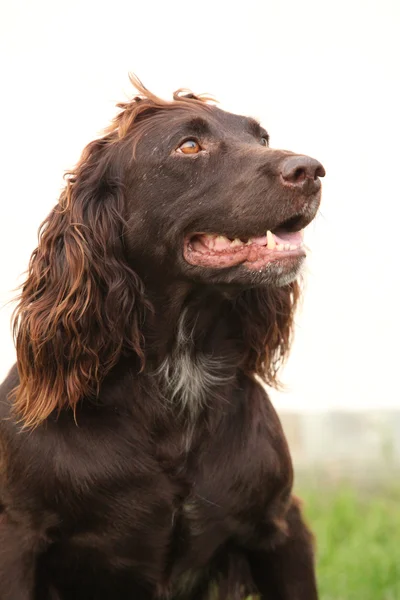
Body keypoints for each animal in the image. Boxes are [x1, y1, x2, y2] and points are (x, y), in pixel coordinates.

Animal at [0, 77, 324, 596]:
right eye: (188, 146)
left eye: (263, 138)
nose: (311, 170)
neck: (179, 369)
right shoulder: (17, 535)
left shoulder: (280, 525)